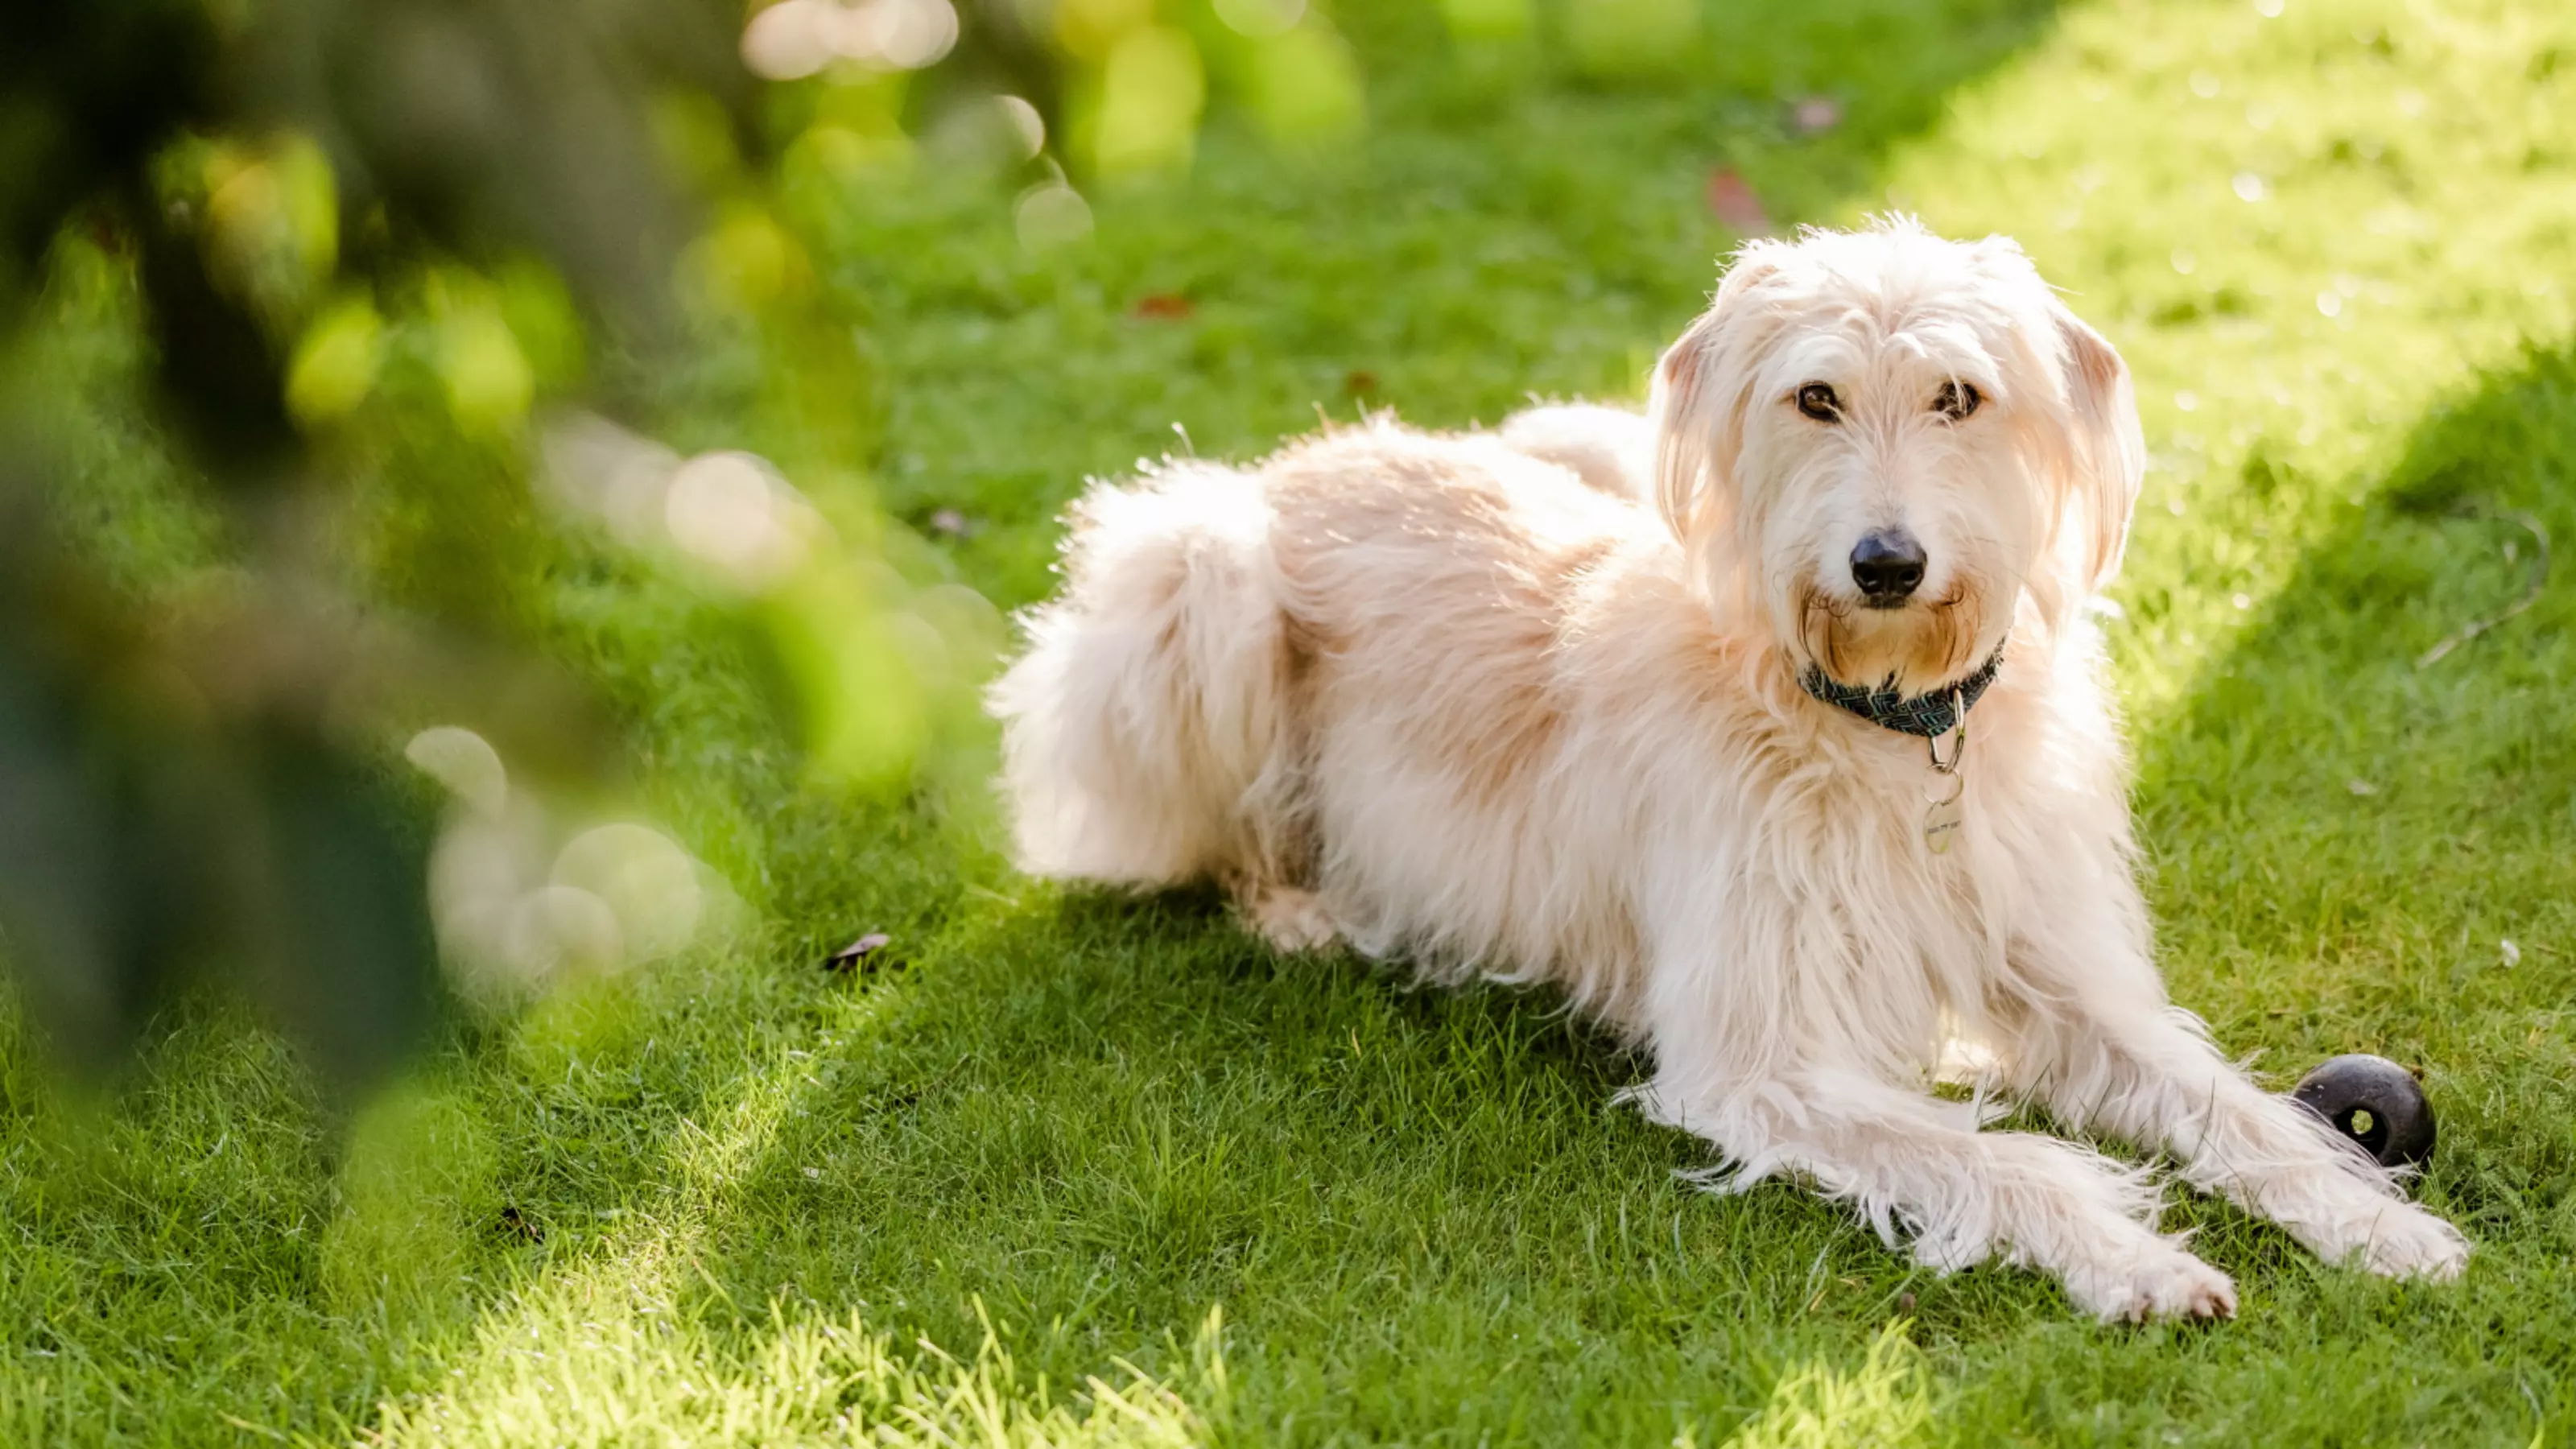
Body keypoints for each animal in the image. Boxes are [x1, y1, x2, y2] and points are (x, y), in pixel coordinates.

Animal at [979, 217, 2452, 1319]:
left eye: (1958, 395)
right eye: (1816, 396)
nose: (1885, 564)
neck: (1887, 732)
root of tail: (1318, 453)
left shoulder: (2066, 979)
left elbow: (2235, 1108)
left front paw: (2370, 1222)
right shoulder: (1761, 1063)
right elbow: (2004, 1160)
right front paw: (2138, 1261)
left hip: (1587, 436)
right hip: (1200, 564)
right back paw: (1298, 908)